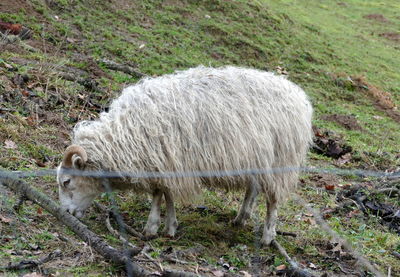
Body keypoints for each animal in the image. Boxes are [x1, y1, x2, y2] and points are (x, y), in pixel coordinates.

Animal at [56, 66, 312, 245]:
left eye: (67, 181)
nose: (65, 213)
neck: (124, 135)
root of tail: (298, 95)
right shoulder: (168, 163)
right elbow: (165, 194)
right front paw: (169, 226)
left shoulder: (167, 161)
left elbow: (159, 194)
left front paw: (152, 227)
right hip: (258, 158)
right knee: (254, 187)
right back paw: (241, 218)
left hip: (282, 160)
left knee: (273, 199)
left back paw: (268, 236)